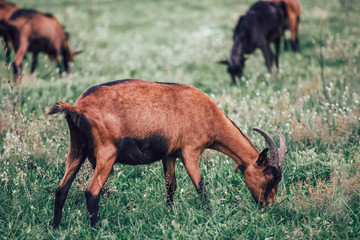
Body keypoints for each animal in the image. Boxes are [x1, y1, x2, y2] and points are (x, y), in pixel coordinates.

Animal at [49, 79, 288, 229]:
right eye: (268, 176)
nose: (267, 206)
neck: (209, 115)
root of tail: (78, 107)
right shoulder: (190, 152)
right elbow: (201, 188)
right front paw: (209, 216)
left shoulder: (170, 154)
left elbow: (171, 186)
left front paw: (170, 213)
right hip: (106, 153)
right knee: (91, 192)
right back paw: (97, 229)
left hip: (77, 150)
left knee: (61, 189)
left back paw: (56, 228)